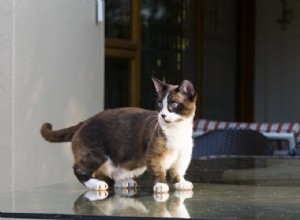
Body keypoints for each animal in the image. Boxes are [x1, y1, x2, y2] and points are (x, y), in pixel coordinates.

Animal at [41, 76, 198, 193]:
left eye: (174, 105)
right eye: (160, 105)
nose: (163, 115)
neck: (177, 130)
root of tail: (85, 121)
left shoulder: (184, 156)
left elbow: (178, 171)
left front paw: (181, 183)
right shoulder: (154, 155)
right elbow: (158, 170)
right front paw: (161, 185)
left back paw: (123, 181)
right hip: (96, 153)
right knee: (80, 170)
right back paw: (96, 184)